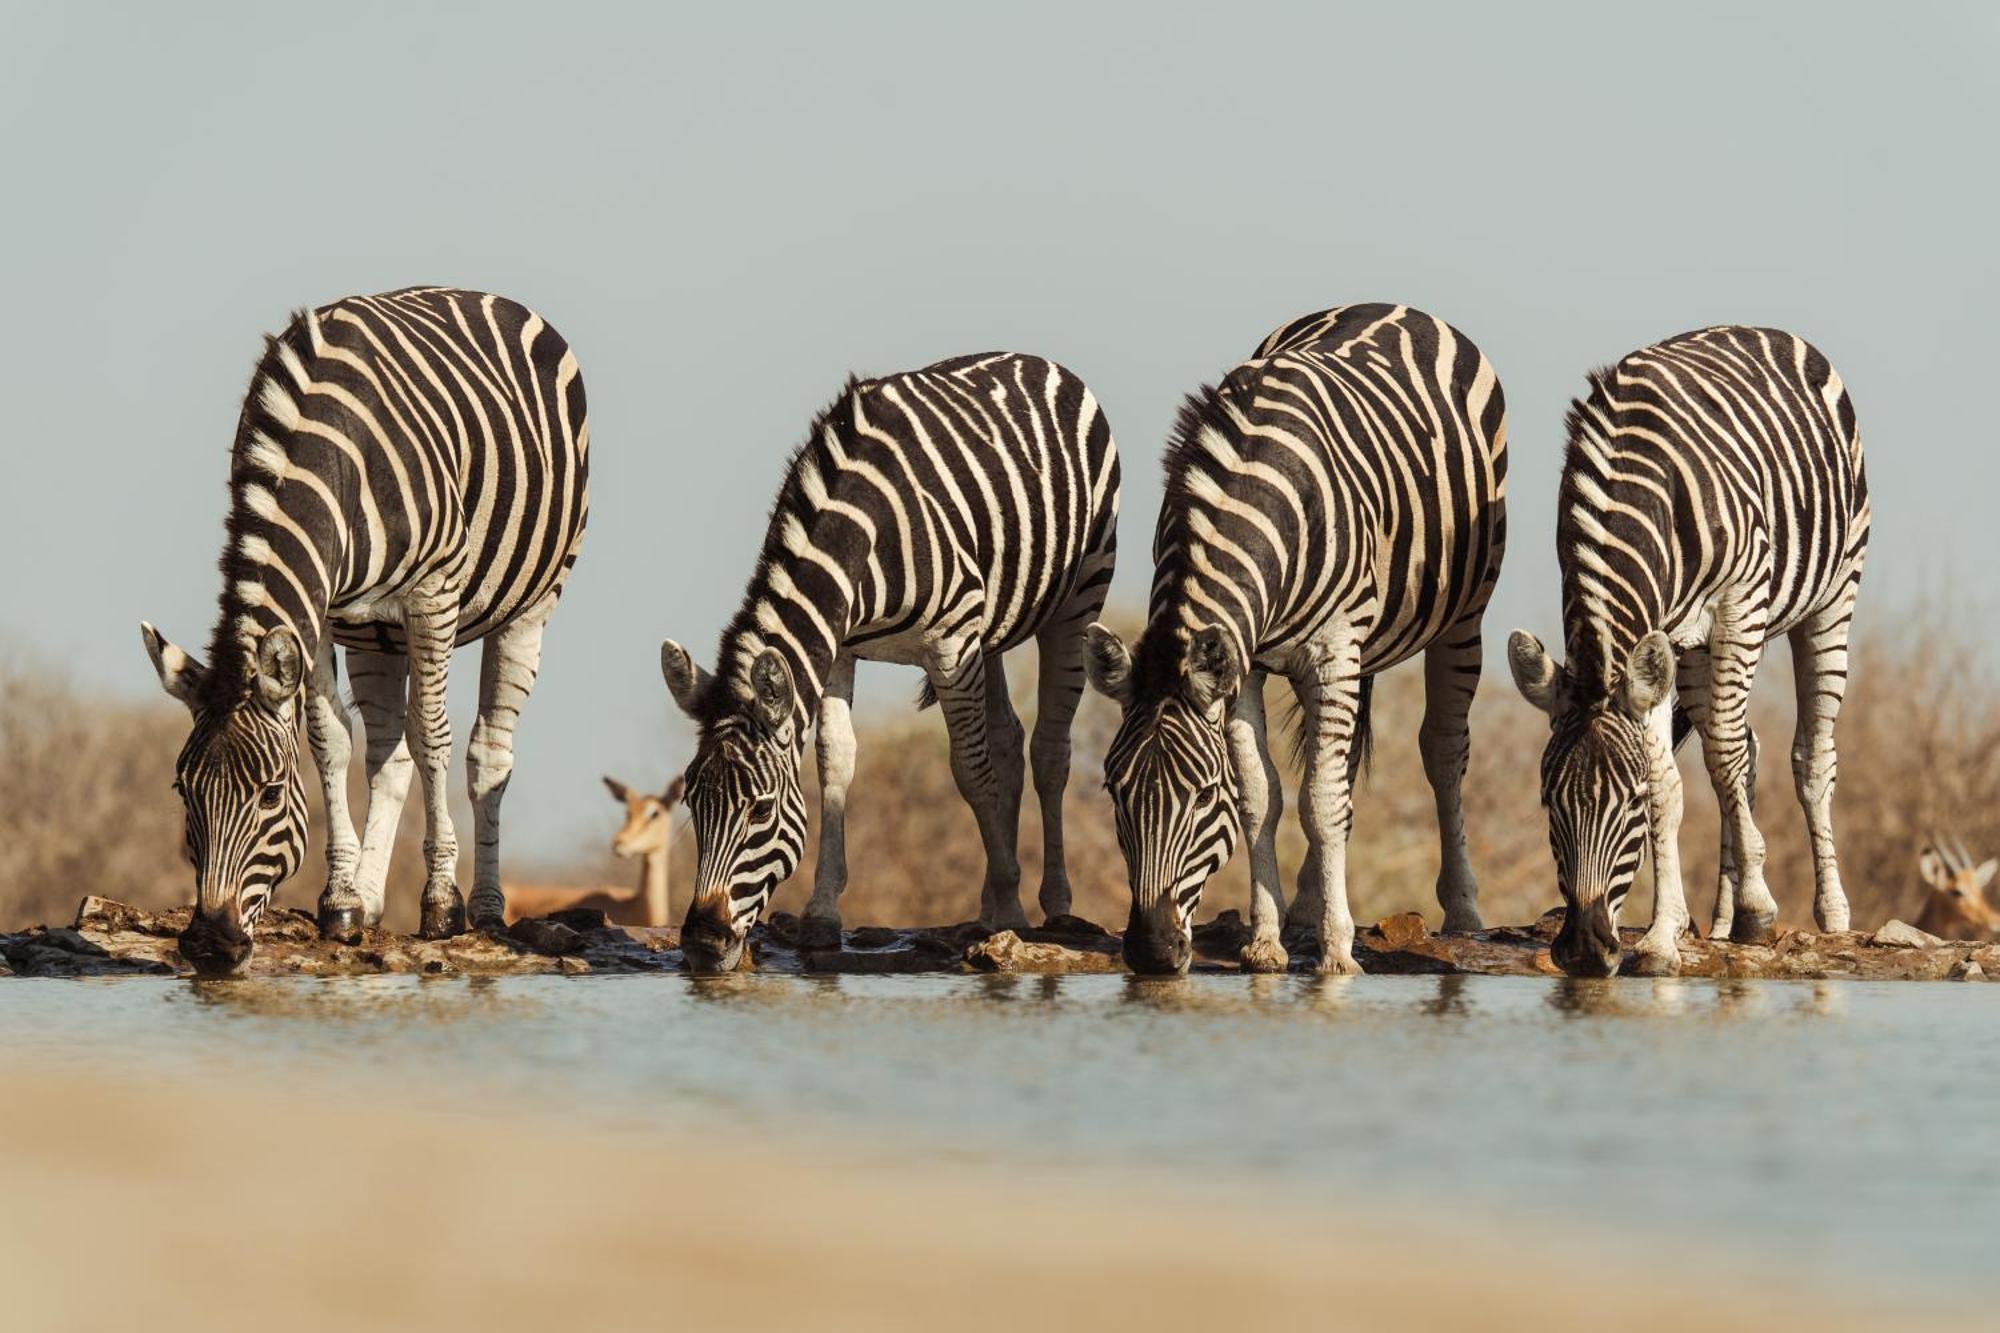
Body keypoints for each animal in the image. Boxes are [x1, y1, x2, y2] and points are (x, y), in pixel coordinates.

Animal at [138, 286, 588, 972]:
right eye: (182, 789)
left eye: (271, 795)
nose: (210, 946)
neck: (323, 453)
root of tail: (487, 294)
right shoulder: (324, 610)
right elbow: (332, 740)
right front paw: (343, 901)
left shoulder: (433, 592)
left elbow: (434, 736)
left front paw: (440, 905)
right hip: (377, 634)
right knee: (388, 754)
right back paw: (372, 898)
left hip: (530, 604)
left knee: (486, 750)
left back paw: (485, 909)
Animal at [664, 348, 1120, 972]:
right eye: (692, 802)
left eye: (760, 811)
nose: (702, 947)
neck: (859, 528)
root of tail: (1037, 358)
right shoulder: (840, 647)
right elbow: (836, 764)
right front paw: (822, 914)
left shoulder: (951, 644)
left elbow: (970, 771)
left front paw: (1011, 910)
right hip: (989, 632)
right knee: (1008, 741)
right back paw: (990, 900)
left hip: (1076, 600)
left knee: (1049, 749)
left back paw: (1050, 904)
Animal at [1088, 300, 1504, 972]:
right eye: (1113, 789)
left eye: (1202, 797)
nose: (1151, 952)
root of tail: (1391, 303)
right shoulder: (1244, 661)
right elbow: (1266, 796)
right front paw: (1265, 940)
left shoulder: (1333, 652)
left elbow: (1321, 802)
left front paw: (1337, 952)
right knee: (1334, 758)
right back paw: (1308, 905)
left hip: (1464, 614)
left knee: (1442, 751)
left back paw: (1463, 912)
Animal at [1504, 324, 1864, 976]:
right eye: (1547, 804)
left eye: (1629, 805)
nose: (1584, 951)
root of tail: (1762, 328)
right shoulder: (1657, 639)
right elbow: (1675, 778)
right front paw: (1665, 932)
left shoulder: (1739, 599)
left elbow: (1715, 758)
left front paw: (1757, 909)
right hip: (1695, 650)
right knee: (1741, 748)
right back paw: (1721, 920)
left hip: (1832, 593)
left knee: (1804, 753)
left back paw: (1830, 912)